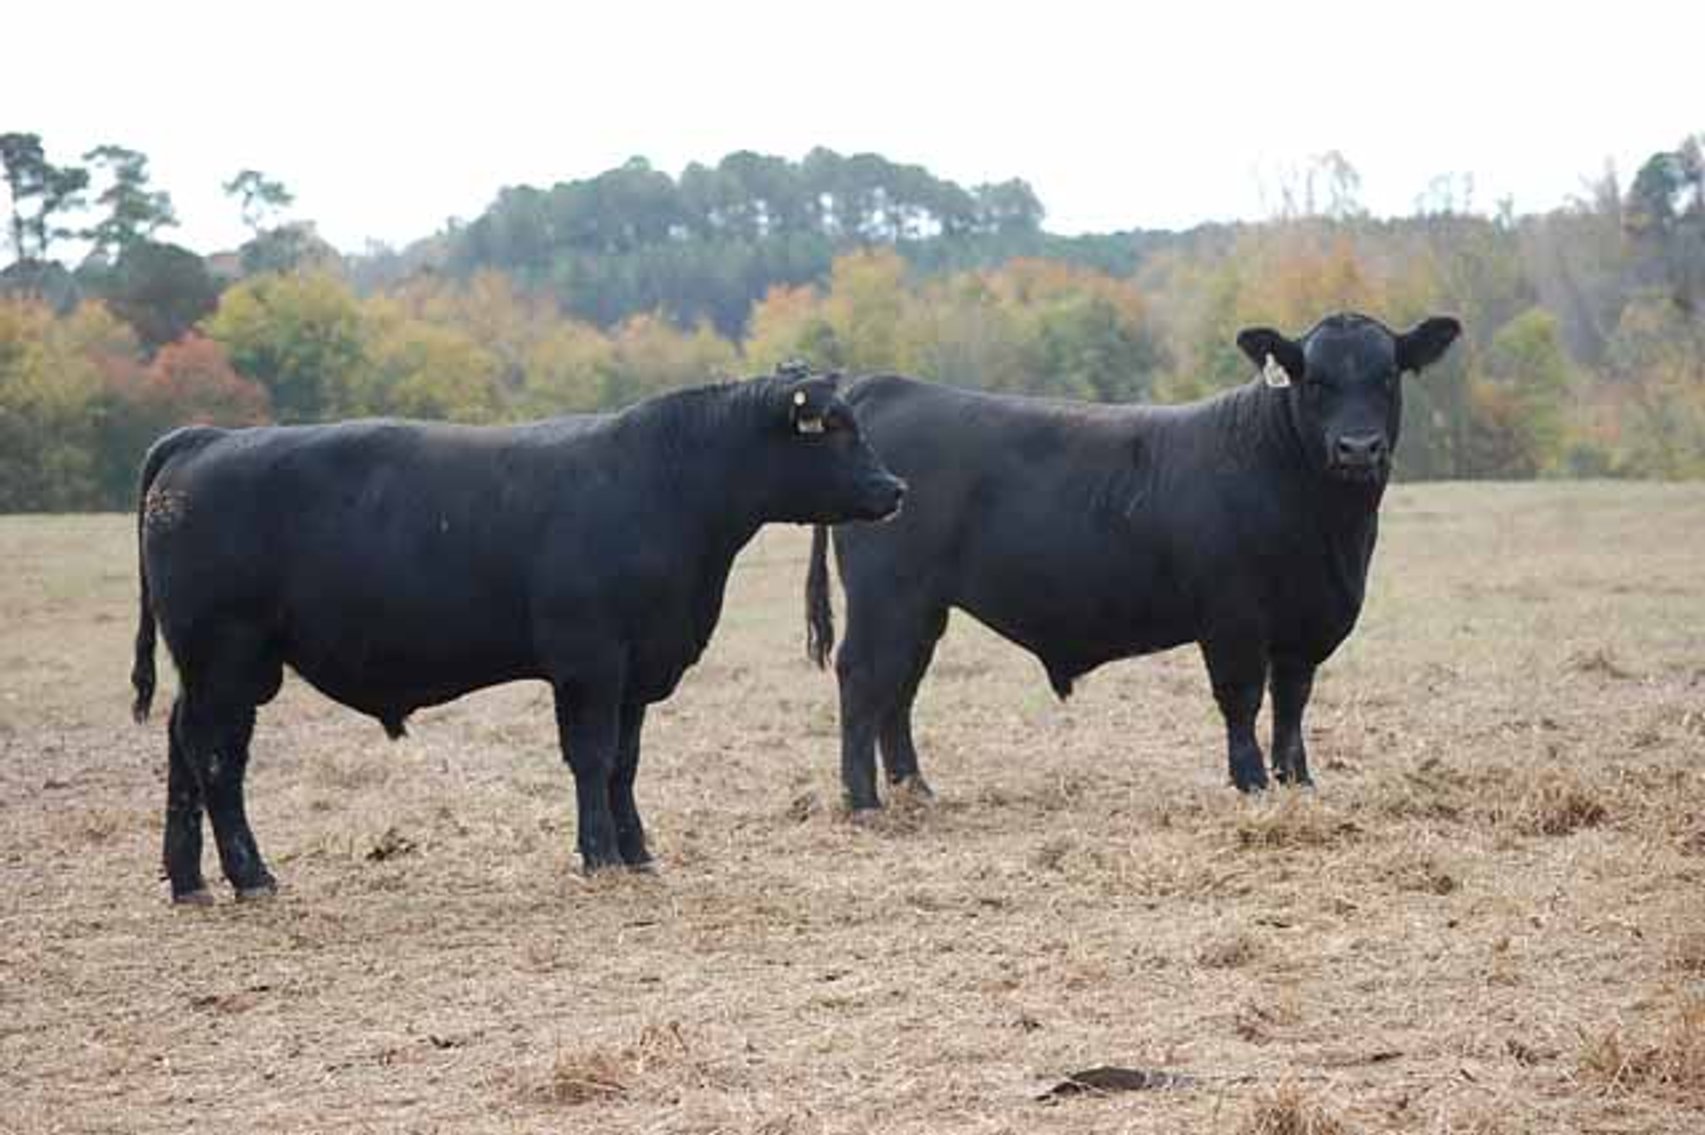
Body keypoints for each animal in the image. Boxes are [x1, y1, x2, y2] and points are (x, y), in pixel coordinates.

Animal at [131, 366, 905, 903]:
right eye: (834, 428)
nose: (895, 488)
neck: (664, 485)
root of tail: (208, 436)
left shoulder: (635, 671)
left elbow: (625, 763)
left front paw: (637, 851)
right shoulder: (590, 663)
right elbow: (591, 758)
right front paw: (599, 855)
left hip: (216, 668)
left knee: (183, 746)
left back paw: (189, 880)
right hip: (227, 658)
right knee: (216, 758)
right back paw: (251, 875)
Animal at [804, 312, 1461, 809]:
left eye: (1387, 376)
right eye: (1314, 380)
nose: (1358, 449)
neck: (1328, 530)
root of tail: (888, 387)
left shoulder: (1306, 622)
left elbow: (1292, 703)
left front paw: (1297, 782)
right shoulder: (1233, 617)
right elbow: (1242, 698)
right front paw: (1250, 784)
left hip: (922, 608)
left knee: (900, 687)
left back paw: (915, 790)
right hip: (887, 598)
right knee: (864, 677)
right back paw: (863, 800)